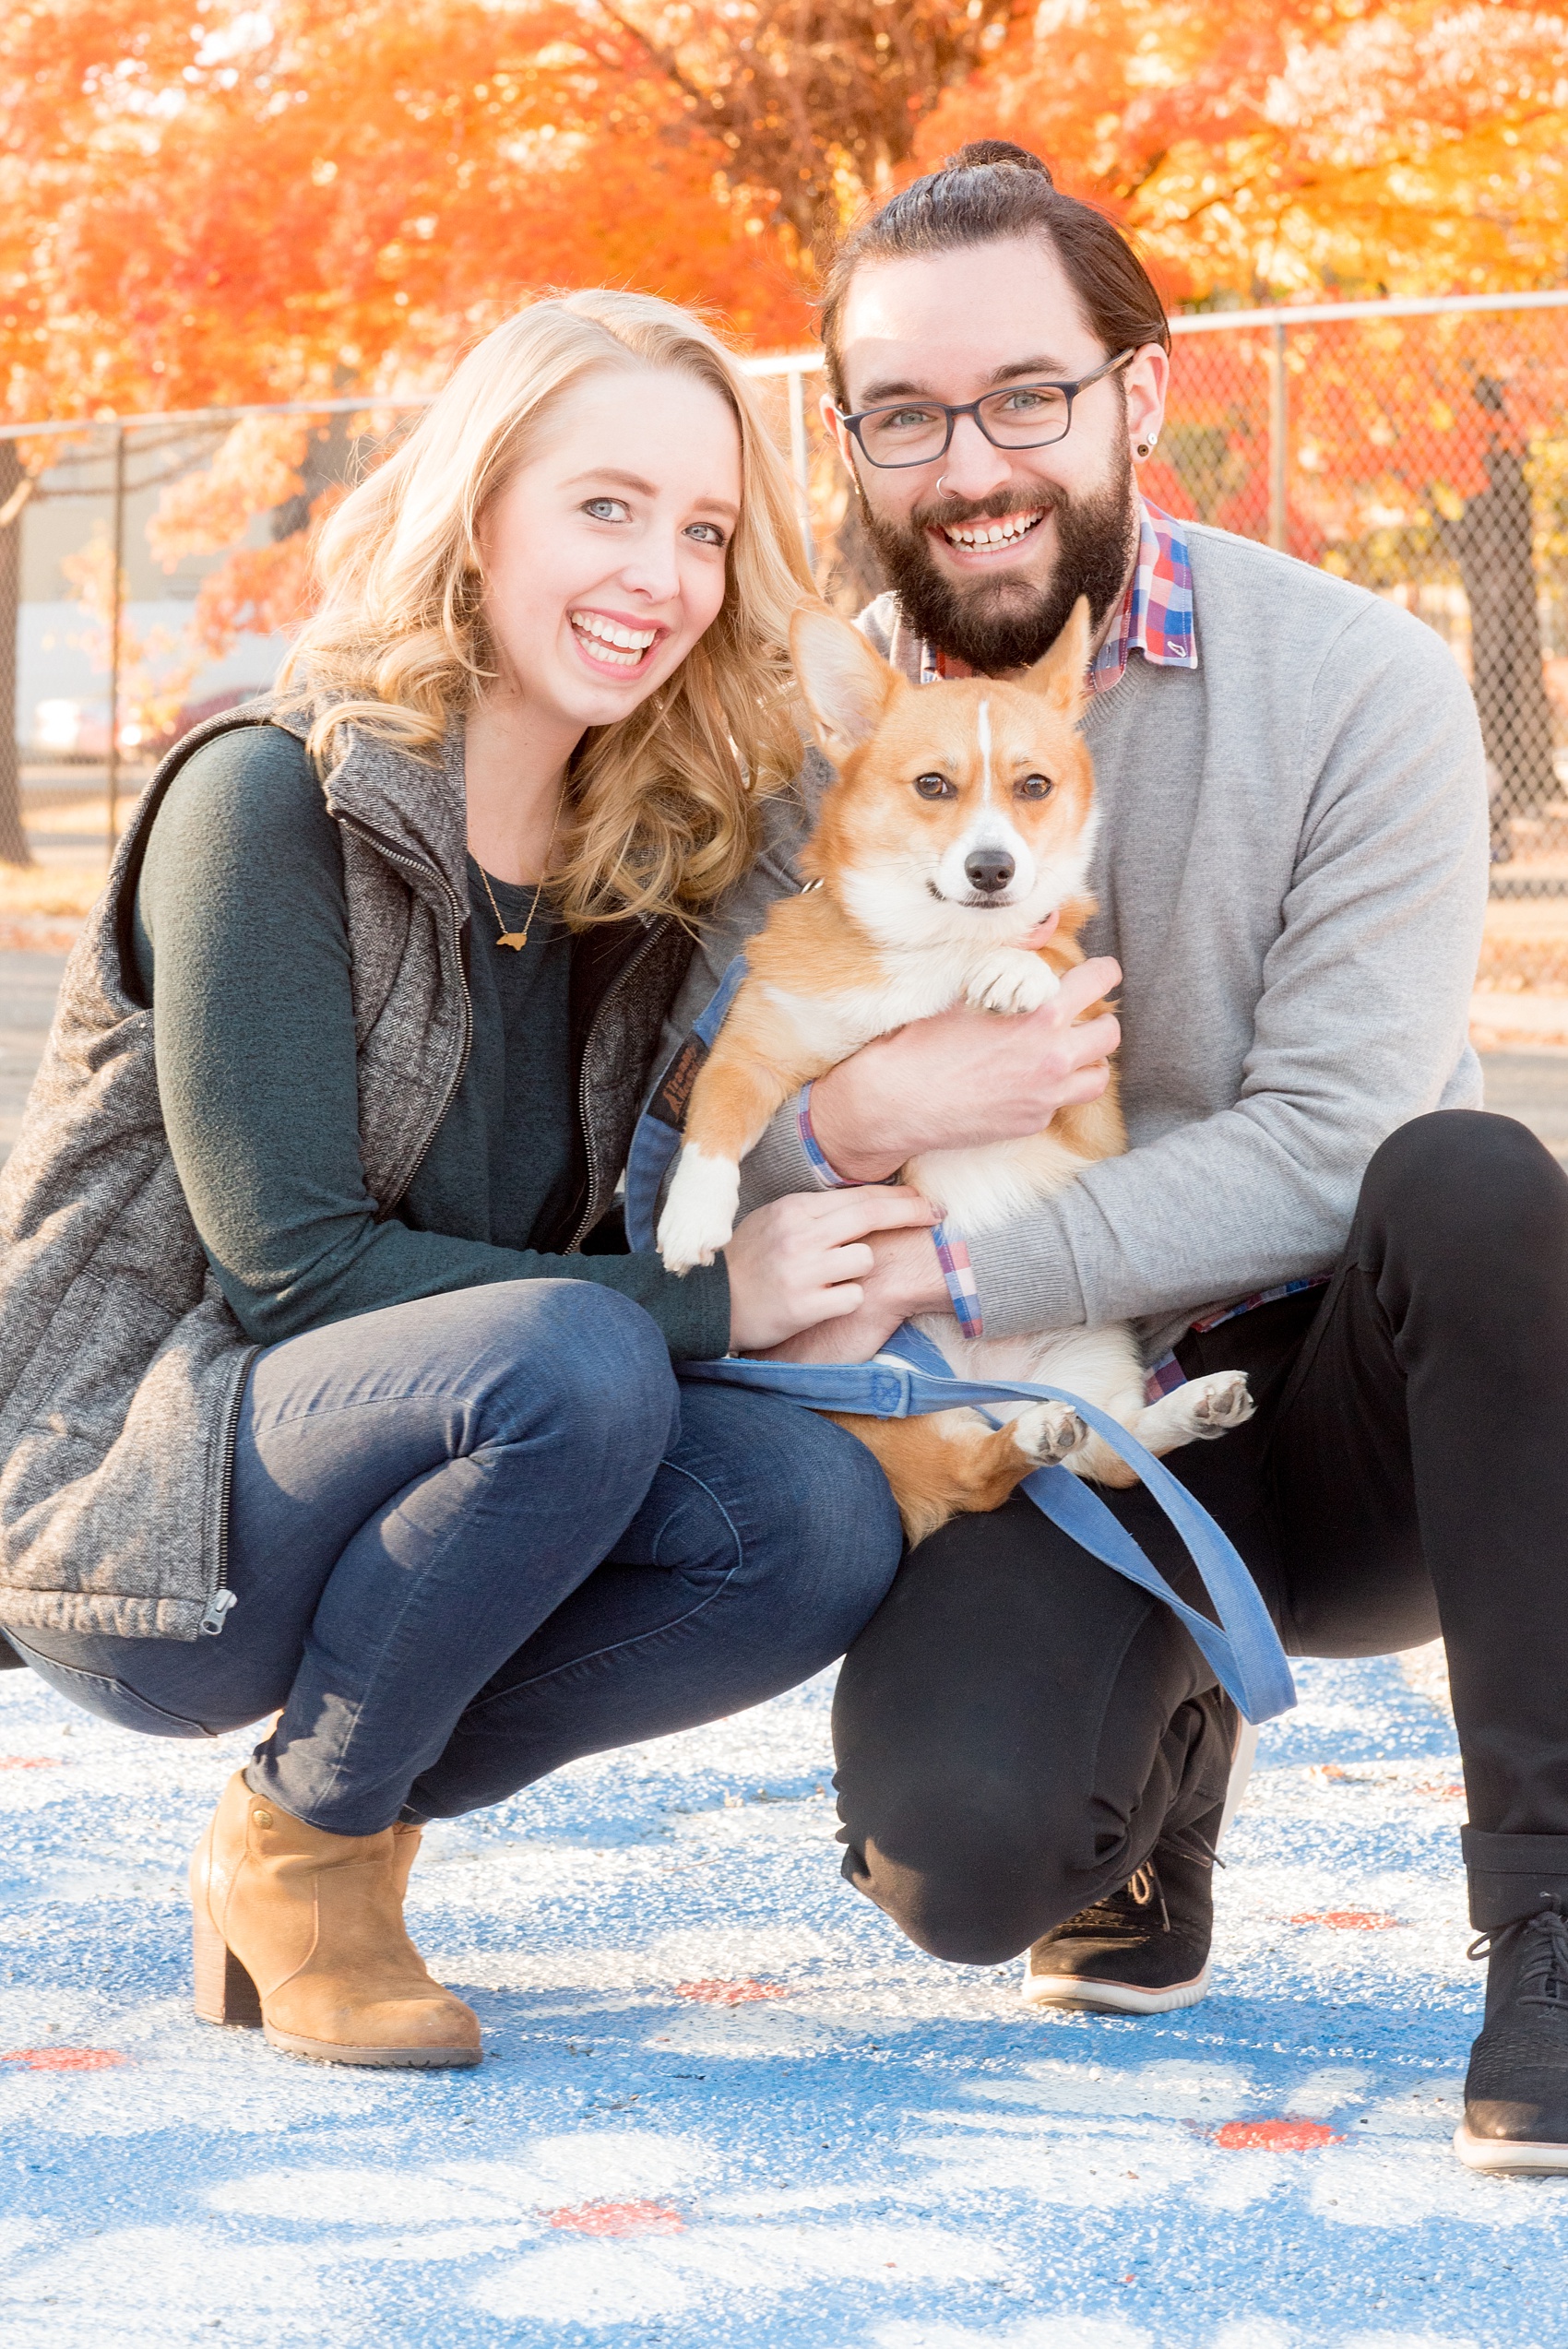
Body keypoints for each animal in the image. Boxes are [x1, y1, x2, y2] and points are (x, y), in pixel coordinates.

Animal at [653, 591, 1250, 1540]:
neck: (937, 950)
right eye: (933, 785)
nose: (993, 868)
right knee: (998, 1469)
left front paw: (1014, 969)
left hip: (1087, 1352)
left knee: (1109, 1453)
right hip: (886, 1393)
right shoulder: (752, 1046)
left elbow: (1042, 963)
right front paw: (692, 1219)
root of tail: (991, 1387)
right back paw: (1048, 1430)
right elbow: (714, 1124)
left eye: (1033, 786)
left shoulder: (1085, 1098)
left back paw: (1181, 1407)